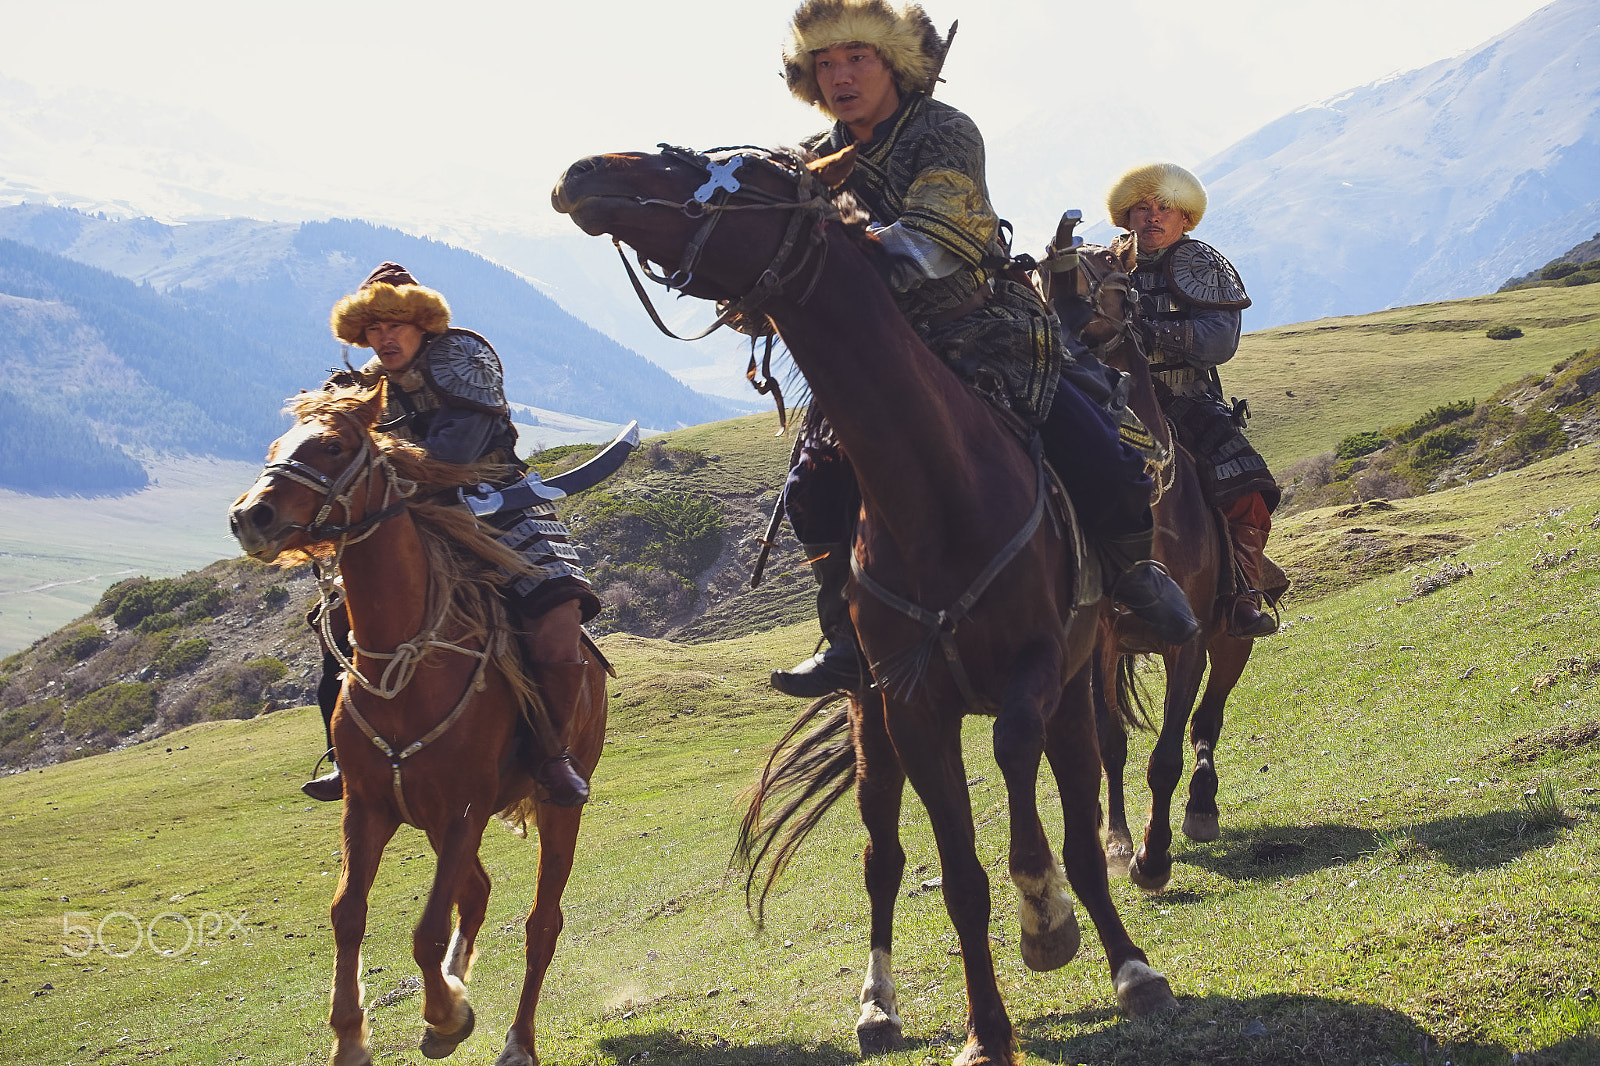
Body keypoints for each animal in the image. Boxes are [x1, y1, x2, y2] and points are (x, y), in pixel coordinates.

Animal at [233, 385, 611, 1062]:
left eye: (334, 446)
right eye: (277, 444)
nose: (252, 517)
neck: (408, 663)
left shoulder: (464, 809)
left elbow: (428, 929)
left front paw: (444, 1015)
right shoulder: (369, 806)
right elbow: (347, 914)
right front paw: (352, 1037)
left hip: (553, 806)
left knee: (542, 921)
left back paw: (518, 1039)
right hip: (434, 821)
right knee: (478, 891)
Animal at [556, 147, 1184, 1062]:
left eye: (727, 173)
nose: (584, 172)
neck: (938, 486)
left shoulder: (1036, 667)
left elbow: (1018, 764)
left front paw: (1046, 917)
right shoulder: (910, 708)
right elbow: (956, 878)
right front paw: (986, 1030)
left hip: (1070, 685)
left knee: (1074, 810)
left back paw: (1130, 967)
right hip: (866, 722)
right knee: (881, 858)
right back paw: (878, 1006)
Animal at [1043, 246, 1254, 889]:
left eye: (1108, 278)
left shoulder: (1189, 643)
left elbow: (1166, 756)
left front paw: (1153, 857)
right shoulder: (1101, 645)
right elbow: (1110, 744)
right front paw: (1116, 843)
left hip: (1231, 634)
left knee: (1208, 718)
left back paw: (1203, 807)